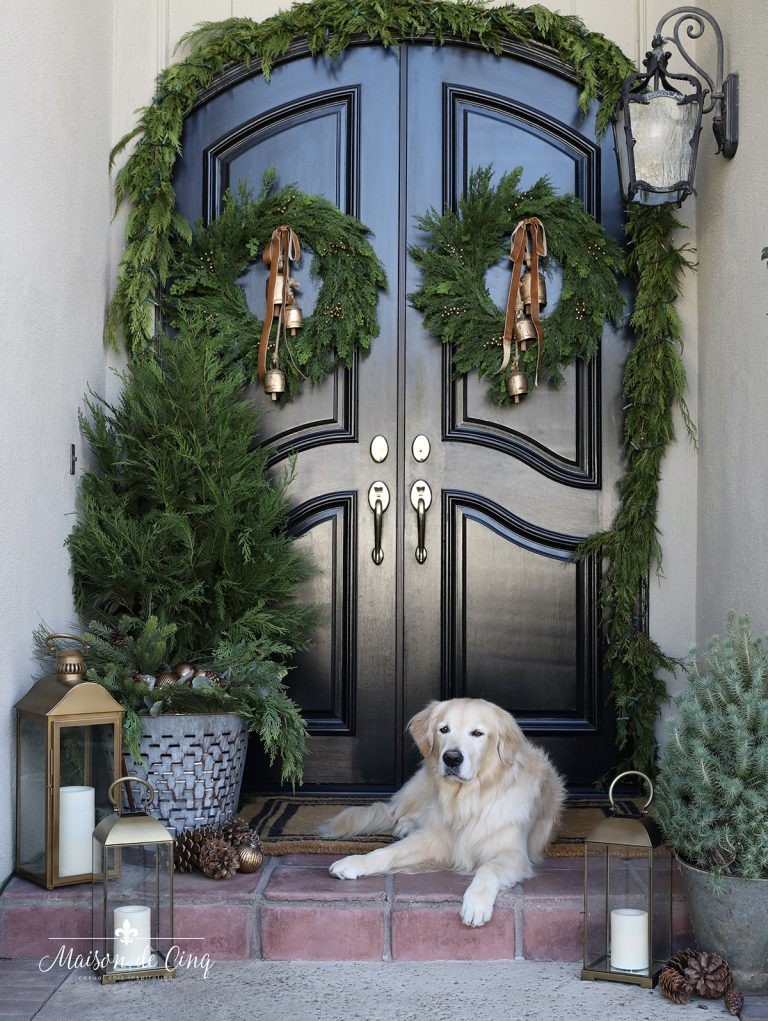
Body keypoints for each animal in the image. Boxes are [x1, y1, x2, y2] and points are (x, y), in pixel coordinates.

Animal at [318, 702, 563, 927]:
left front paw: (476, 903)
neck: (469, 800)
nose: (452, 758)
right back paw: (405, 825)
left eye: (477, 733)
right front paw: (356, 861)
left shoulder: (514, 854)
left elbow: (488, 868)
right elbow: (387, 852)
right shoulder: (434, 839)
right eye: (444, 729)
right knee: (398, 814)